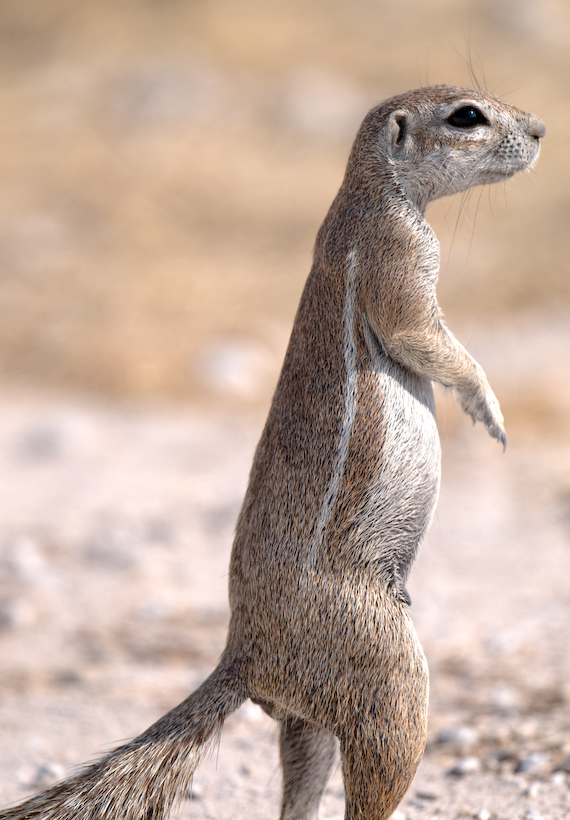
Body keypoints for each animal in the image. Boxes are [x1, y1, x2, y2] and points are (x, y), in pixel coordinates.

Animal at [0, 83, 540, 820]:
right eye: (466, 116)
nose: (542, 131)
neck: (370, 191)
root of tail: (244, 657)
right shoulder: (398, 254)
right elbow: (424, 338)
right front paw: (491, 411)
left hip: (308, 716)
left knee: (303, 778)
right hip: (387, 675)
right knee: (375, 772)